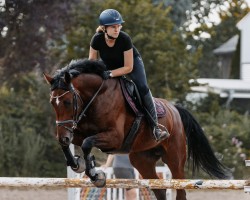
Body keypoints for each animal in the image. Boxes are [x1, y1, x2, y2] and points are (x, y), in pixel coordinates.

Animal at [43, 58, 230, 200]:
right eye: (52, 103)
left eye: (67, 102)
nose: (64, 136)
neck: (96, 97)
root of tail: (175, 109)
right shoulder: (77, 131)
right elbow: (71, 144)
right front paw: (77, 164)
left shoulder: (114, 137)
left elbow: (87, 143)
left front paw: (96, 175)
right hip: (143, 161)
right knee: (160, 191)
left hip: (174, 158)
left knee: (180, 189)